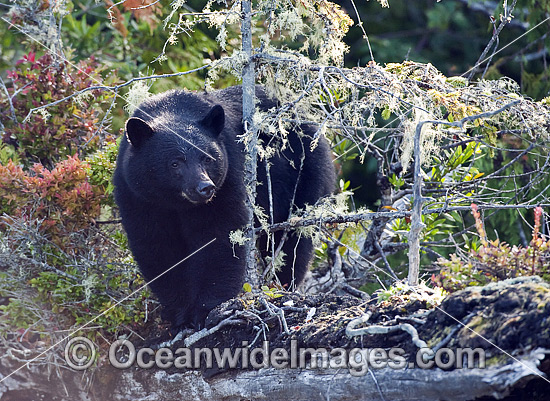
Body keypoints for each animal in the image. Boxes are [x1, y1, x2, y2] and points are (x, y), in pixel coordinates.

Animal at [114, 85, 334, 328]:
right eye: (175, 163)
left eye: (207, 158)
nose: (205, 188)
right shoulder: (138, 195)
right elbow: (157, 246)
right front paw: (180, 312)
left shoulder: (228, 179)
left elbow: (220, 235)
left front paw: (206, 309)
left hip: (306, 173)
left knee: (293, 239)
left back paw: (283, 285)